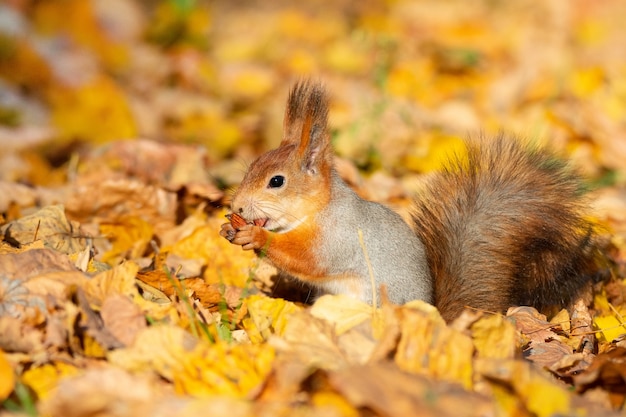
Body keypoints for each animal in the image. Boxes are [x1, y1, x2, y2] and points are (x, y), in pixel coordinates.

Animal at [218, 81, 596, 322]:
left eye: (276, 181)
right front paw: (228, 230)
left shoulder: (338, 237)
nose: (237, 207)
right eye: (252, 165)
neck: (318, 209)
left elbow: (306, 259)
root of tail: (435, 320)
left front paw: (255, 236)